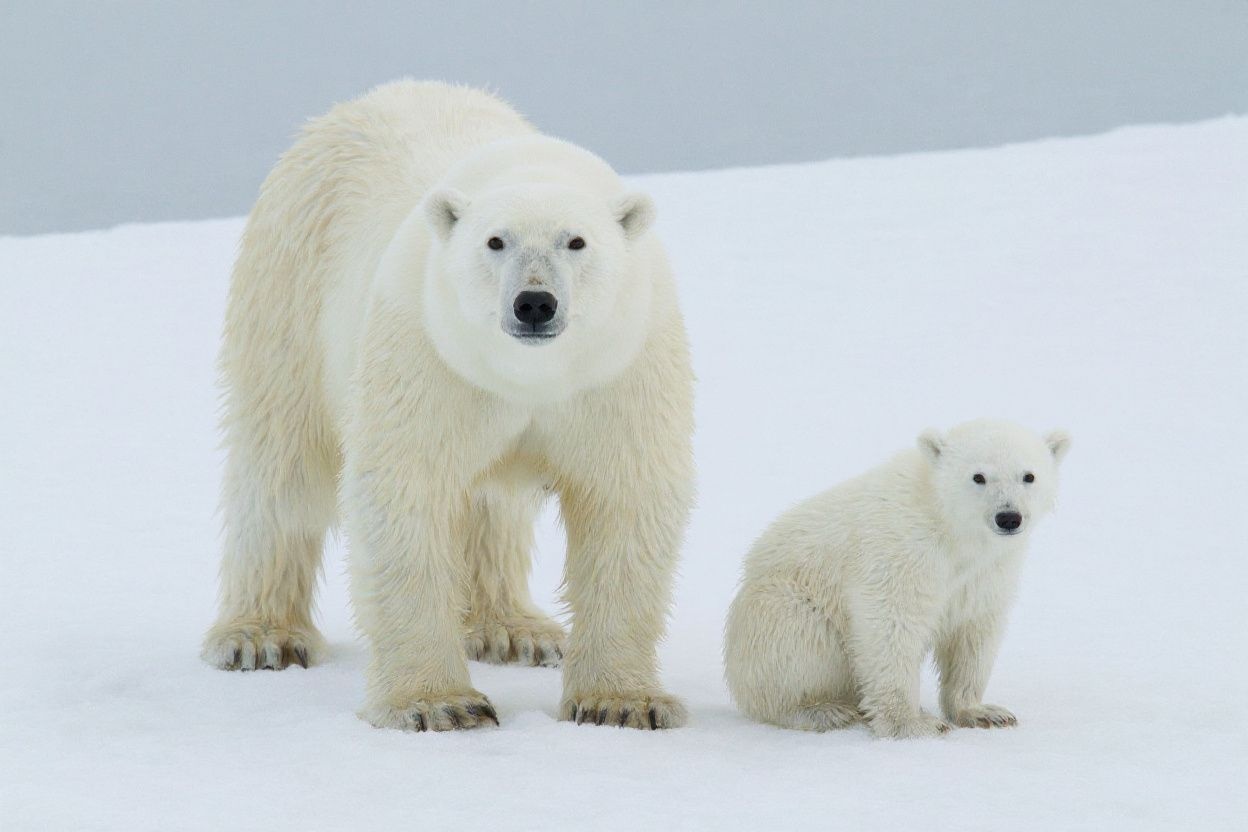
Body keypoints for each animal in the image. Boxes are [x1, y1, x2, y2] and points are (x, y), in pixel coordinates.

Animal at [201, 80, 695, 733]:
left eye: (576, 240)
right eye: (495, 240)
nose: (534, 303)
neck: (529, 376)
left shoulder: (620, 368)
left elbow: (625, 501)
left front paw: (622, 702)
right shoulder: (426, 354)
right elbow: (404, 492)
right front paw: (440, 703)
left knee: (491, 510)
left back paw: (514, 630)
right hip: (289, 286)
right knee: (284, 465)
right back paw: (260, 637)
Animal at [723, 419, 1070, 738]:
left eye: (1029, 476)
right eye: (978, 476)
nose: (1009, 517)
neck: (951, 529)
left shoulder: (987, 571)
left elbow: (973, 631)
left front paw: (984, 712)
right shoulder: (902, 550)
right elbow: (891, 623)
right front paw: (913, 724)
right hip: (782, 605)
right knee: (798, 640)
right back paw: (822, 710)